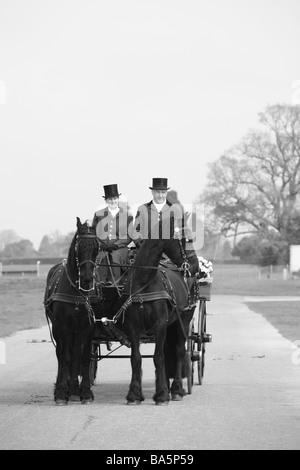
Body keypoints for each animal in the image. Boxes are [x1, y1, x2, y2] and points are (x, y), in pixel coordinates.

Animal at [44, 217, 101, 404]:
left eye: (96, 247)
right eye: (79, 246)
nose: (87, 278)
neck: (76, 292)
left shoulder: (88, 327)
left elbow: (81, 357)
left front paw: (83, 391)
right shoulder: (63, 326)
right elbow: (65, 357)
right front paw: (62, 392)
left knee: (75, 353)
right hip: (57, 329)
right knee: (61, 353)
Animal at [110, 237, 199, 406]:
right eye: (185, 239)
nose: (196, 266)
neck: (144, 282)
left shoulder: (160, 324)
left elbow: (158, 357)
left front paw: (162, 395)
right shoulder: (133, 326)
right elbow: (136, 358)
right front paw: (134, 395)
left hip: (183, 321)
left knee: (179, 351)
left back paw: (176, 390)